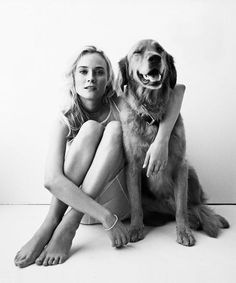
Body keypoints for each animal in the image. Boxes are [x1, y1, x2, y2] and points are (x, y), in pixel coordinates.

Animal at [115, 39, 230, 246]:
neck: (152, 113)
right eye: (138, 52)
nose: (154, 58)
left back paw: (204, 219)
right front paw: (135, 228)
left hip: (191, 171)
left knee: (195, 206)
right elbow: (136, 204)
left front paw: (183, 231)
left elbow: (181, 208)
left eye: (159, 49)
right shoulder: (133, 167)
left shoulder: (180, 165)